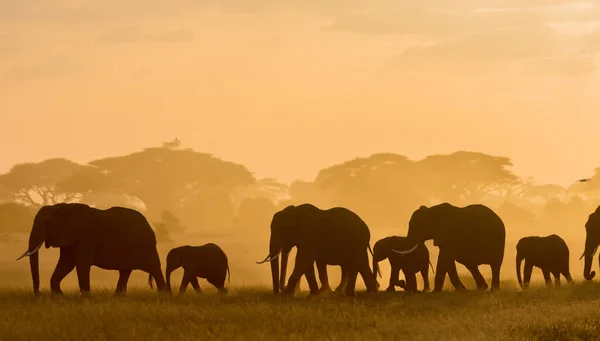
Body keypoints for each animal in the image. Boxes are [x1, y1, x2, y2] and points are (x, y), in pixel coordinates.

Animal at [16, 202, 166, 294]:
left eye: (49, 225)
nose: (38, 295)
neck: (63, 207)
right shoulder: (70, 239)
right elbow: (66, 264)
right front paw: (60, 298)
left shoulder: (86, 238)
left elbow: (81, 265)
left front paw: (86, 298)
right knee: (125, 271)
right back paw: (116, 298)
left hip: (146, 245)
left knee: (154, 268)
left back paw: (165, 296)